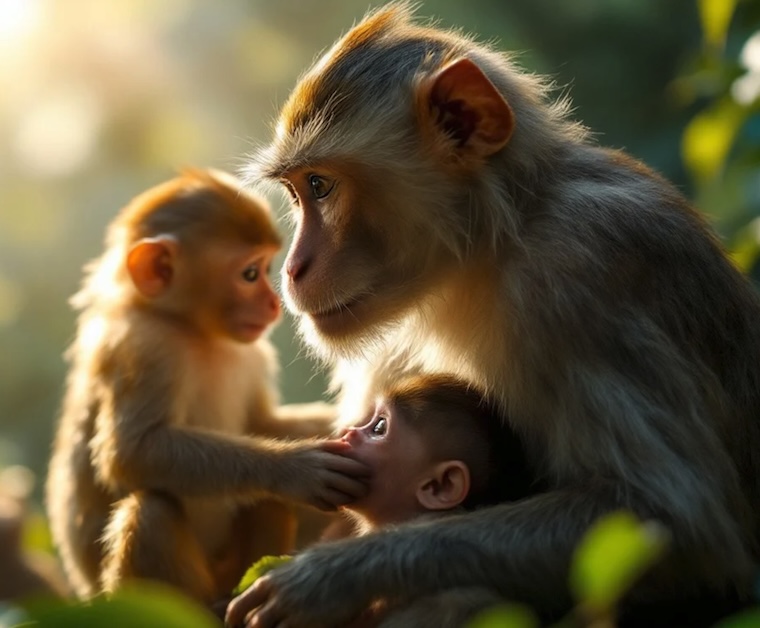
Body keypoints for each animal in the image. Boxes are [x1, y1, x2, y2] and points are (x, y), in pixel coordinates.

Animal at [45, 168, 369, 605]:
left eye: (266, 267)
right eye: (250, 274)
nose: (272, 304)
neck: (198, 334)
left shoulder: (252, 352)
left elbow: (260, 424)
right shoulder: (143, 346)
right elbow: (132, 451)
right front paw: (295, 467)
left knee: (266, 507)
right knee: (151, 512)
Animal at [225, 4, 760, 628]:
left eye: (321, 185)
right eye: (296, 192)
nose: (292, 269)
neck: (492, 247)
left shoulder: (581, 273)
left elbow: (676, 521)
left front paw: (325, 579)